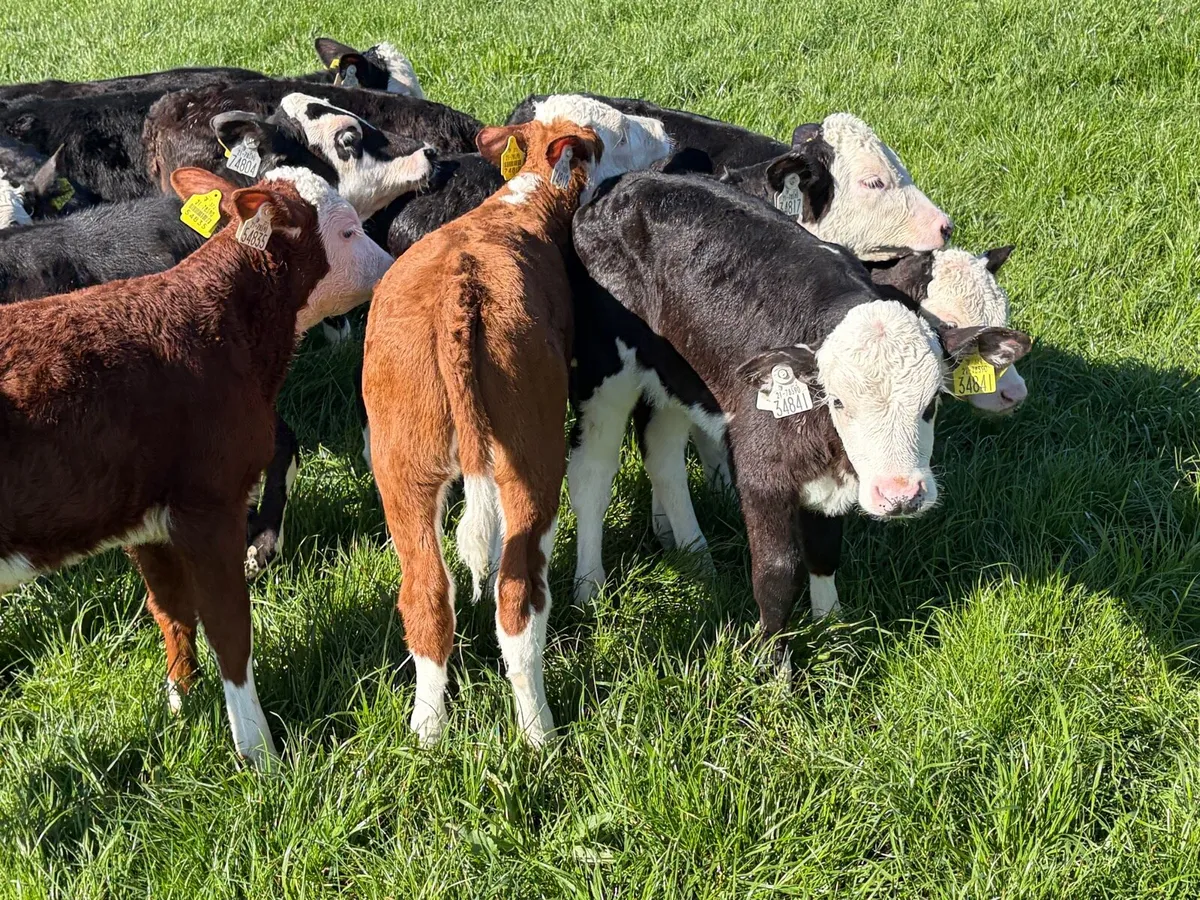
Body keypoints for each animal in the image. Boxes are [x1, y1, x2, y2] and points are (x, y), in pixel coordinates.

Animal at [0, 166, 393, 763]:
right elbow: (229, 628)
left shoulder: (143, 516)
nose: (393, 264)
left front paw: (180, 701)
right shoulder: (210, 506)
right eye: (348, 230)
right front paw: (259, 753)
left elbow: (172, 609)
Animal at [563, 173, 1030, 654]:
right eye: (840, 401)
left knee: (664, 457)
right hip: (605, 373)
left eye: (932, 402)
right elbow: (777, 574)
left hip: (677, 379)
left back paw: (696, 556)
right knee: (592, 476)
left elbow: (824, 550)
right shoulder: (760, 472)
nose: (900, 495)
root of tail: (626, 182)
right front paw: (771, 661)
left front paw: (832, 627)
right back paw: (591, 588)